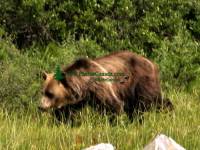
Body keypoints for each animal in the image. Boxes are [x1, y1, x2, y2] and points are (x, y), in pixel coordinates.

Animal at [39, 51, 173, 119]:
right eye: (42, 91)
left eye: (50, 93)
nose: (40, 106)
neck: (84, 86)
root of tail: (152, 62)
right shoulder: (77, 100)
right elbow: (66, 113)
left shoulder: (100, 86)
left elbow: (113, 105)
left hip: (140, 80)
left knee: (152, 100)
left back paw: (169, 112)